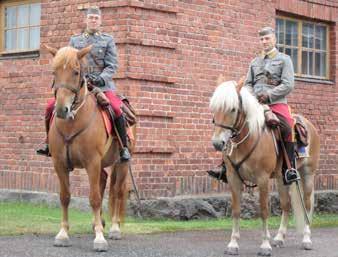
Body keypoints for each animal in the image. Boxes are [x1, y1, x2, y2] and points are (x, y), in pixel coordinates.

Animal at [45, 45, 136, 250]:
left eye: (76, 72)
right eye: (54, 72)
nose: (62, 109)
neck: (72, 122)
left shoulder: (92, 162)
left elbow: (94, 198)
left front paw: (100, 239)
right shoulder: (59, 164)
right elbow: (65, 196)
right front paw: (63, 234)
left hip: (121, 163)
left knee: (117, 191)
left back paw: (114, 228)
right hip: (101, 165)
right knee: (103, 183)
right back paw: (97, 223)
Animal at [211, 77, 320, 254]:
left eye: (233, 109)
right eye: (214, 108)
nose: (217, 143)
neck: (248, 139)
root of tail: (309, 125)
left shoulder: (262, 179)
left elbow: (263, 210)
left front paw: (265, 245)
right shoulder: (233, 178)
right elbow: (236, 210)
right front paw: (233, 244)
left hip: (308, 174)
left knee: (307, 205)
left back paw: (306, 239)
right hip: (282, 179)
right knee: (286, 205)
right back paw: (279, 237)